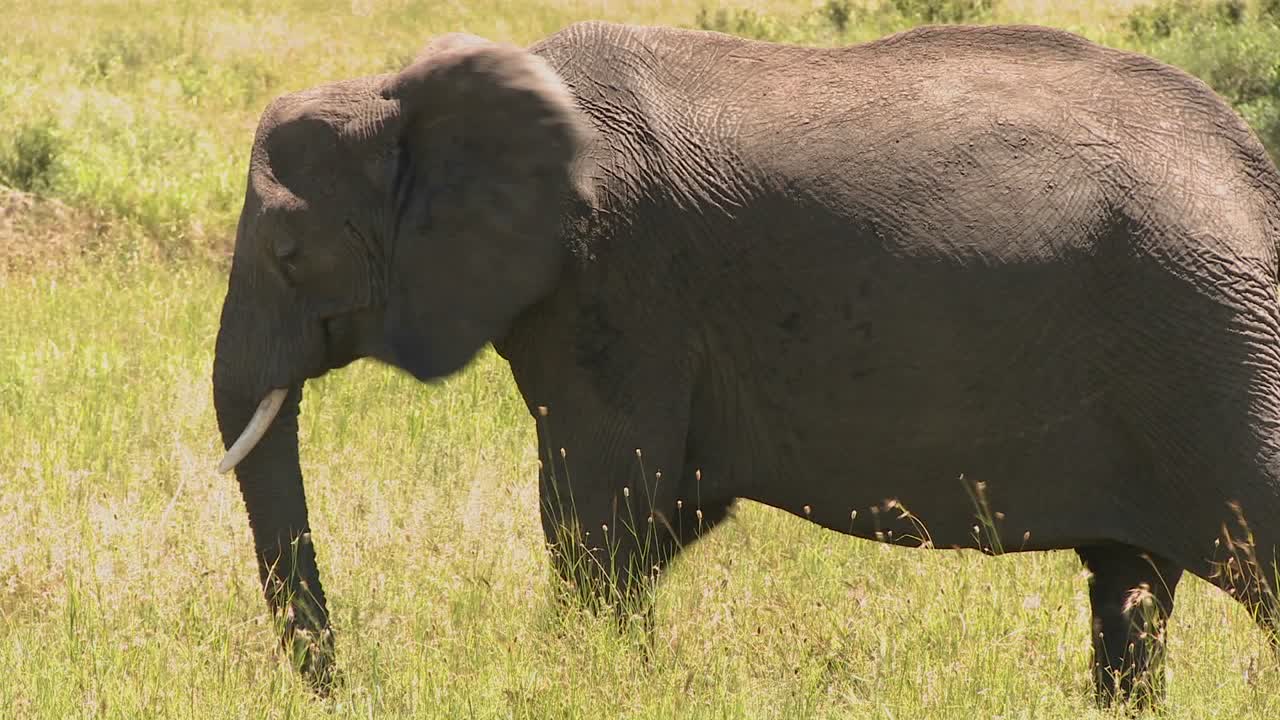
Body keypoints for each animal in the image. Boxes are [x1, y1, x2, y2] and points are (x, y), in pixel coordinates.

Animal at [211, 20, 1280, 708]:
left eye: (290, 256)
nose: (343, 686)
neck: (406, 93)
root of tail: (1254, 172)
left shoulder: (617, 284)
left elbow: (601, 508)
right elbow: (660, 511)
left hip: (1216, 344)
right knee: (1129, 594)